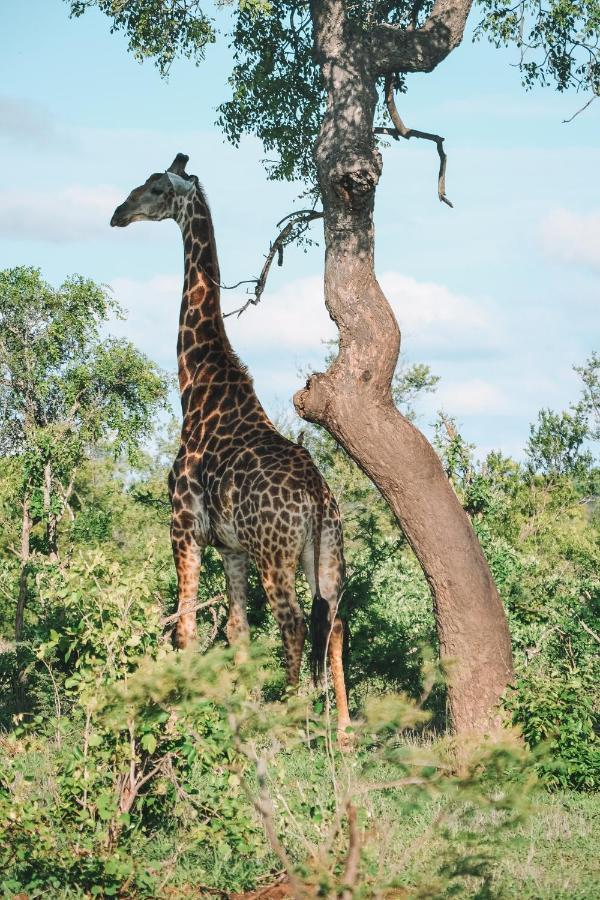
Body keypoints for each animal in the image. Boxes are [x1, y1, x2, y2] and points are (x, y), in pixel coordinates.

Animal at [110, 153, 350, 740]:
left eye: (155, 187)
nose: (118, 213)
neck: (197, 387)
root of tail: (317, 496)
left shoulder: (183, 526)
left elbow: (185, 627)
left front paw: (180, 720)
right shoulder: (231, 547)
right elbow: (238, 632)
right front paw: (237, 715)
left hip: (275, 552)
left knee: (292, 623)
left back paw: (295, 721)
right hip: (326, 550)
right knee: (333, 623)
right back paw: (344, 730)